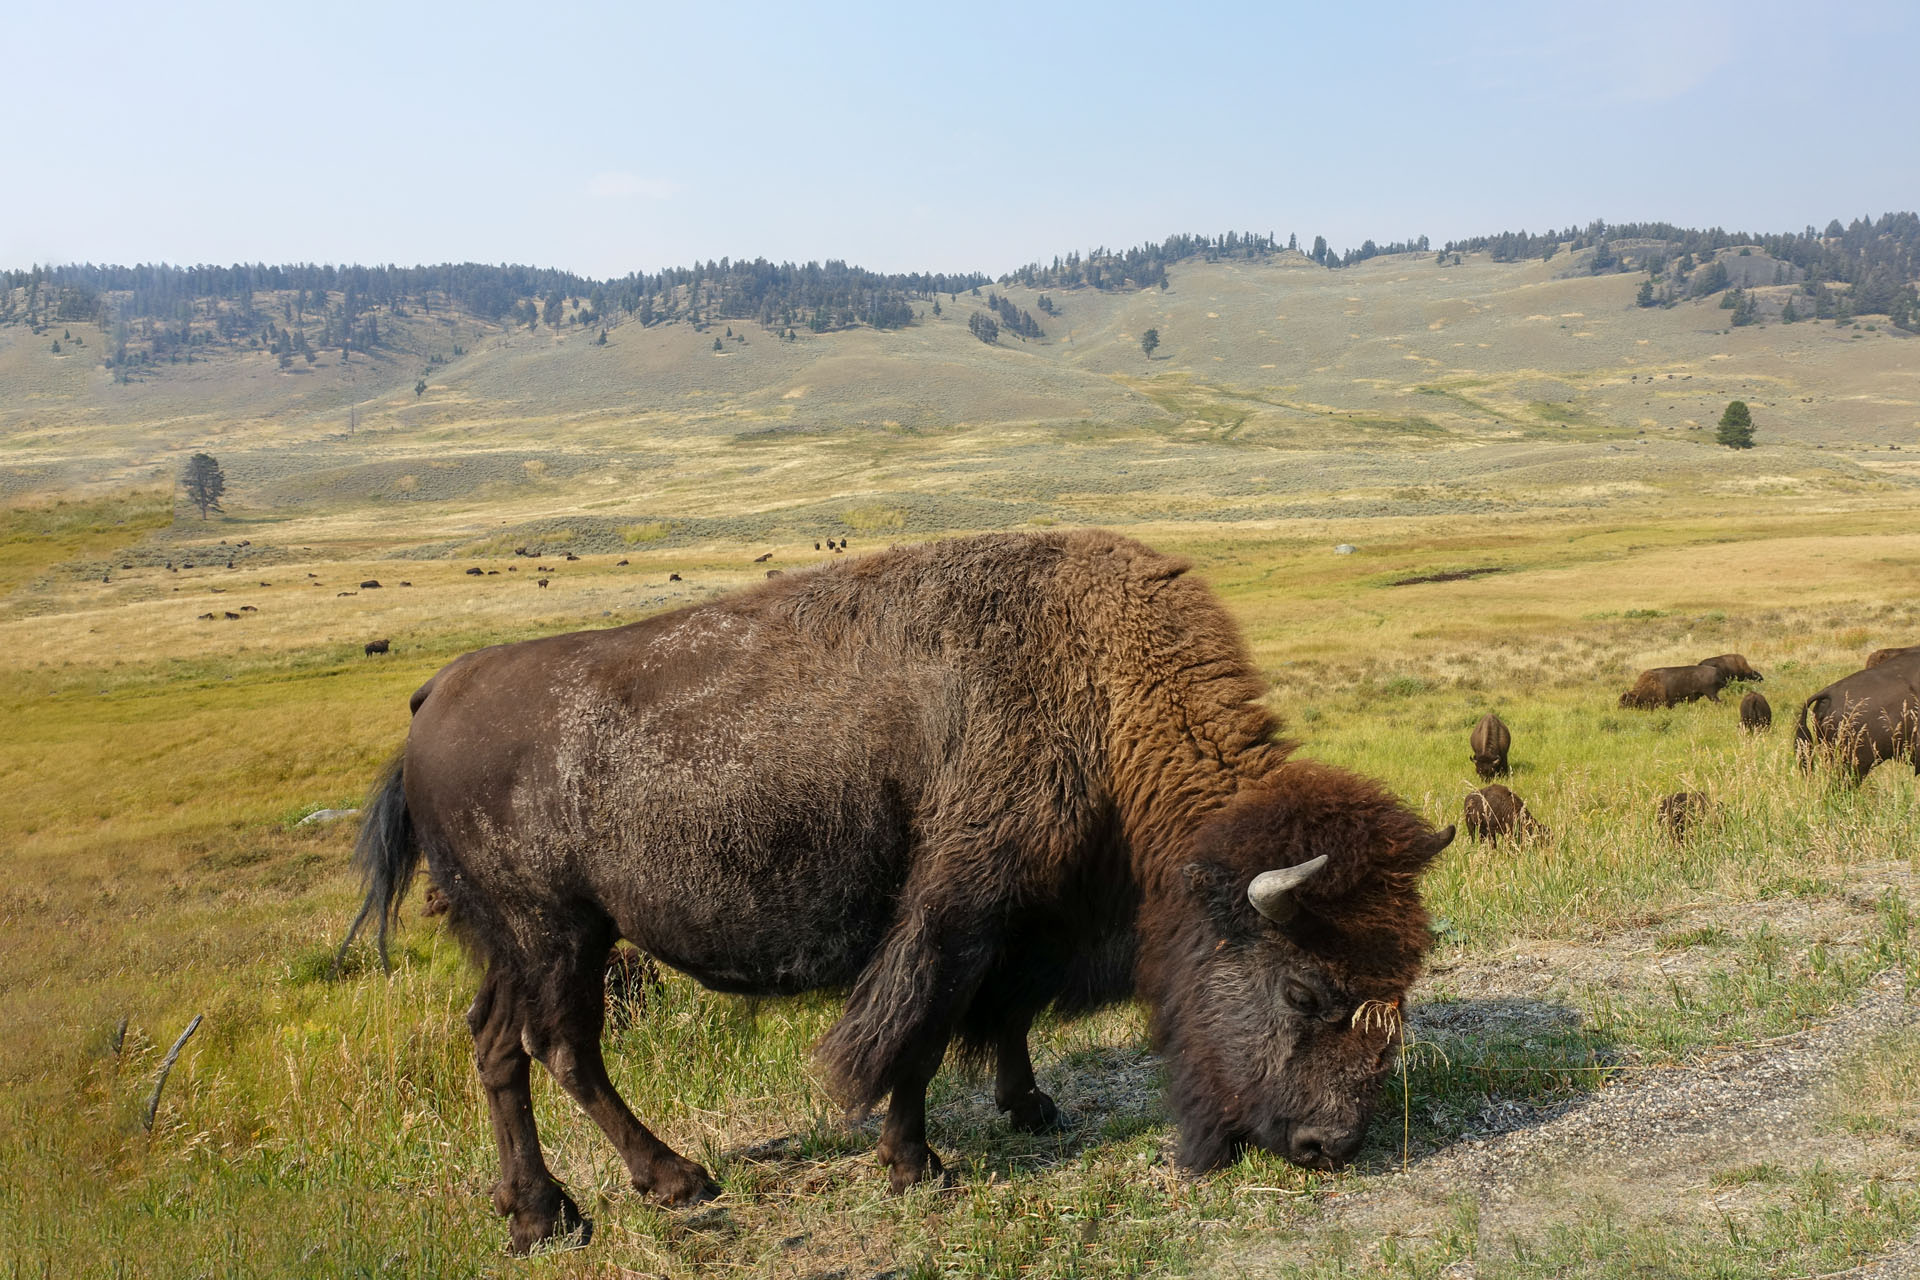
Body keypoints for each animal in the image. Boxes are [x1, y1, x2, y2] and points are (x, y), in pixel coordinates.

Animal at [341, 525, 1451, 1258]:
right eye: (1305, 990)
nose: (1331, 1144)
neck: (1096, 687)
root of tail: (436, 692)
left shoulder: (1022, 921)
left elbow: (1003, 1016)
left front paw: (1030, 1107)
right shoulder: (957, 904)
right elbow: (916, 1031)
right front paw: (919, 1163)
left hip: (515, 941)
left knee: (497, 1044)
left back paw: (542, 1213)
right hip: (558, 934)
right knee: (561, 1046)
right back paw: (669, 1182)